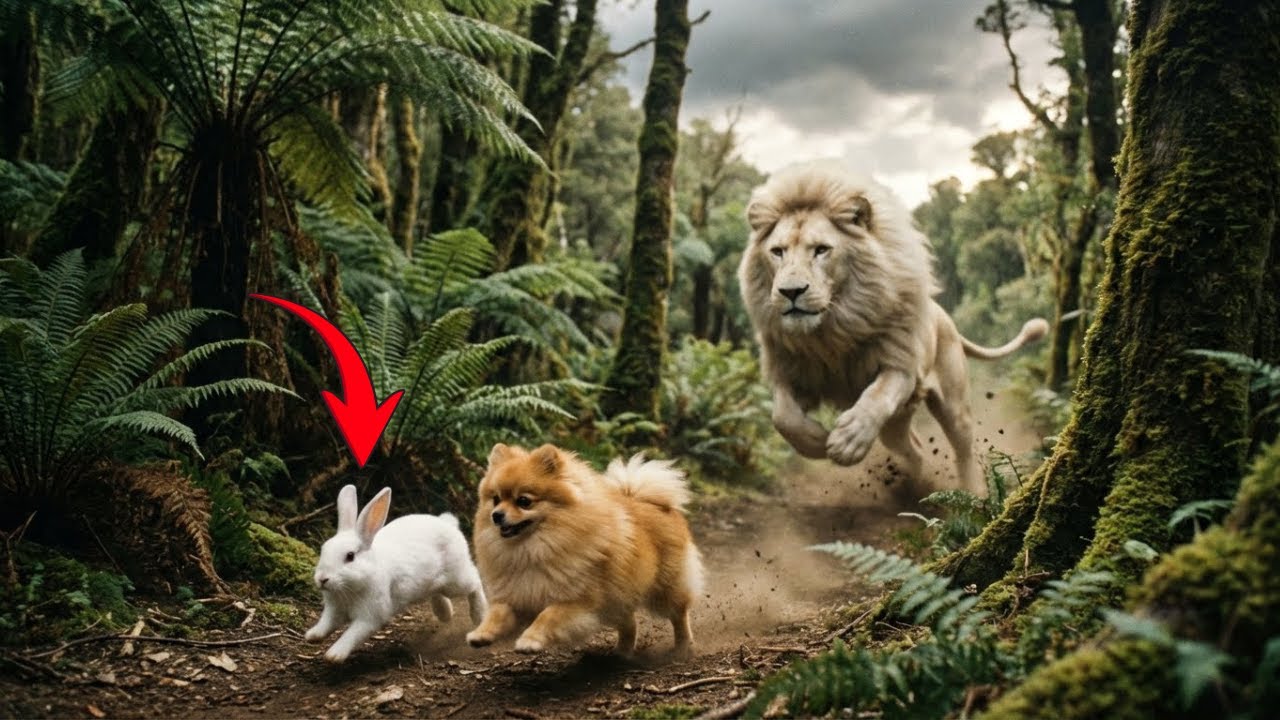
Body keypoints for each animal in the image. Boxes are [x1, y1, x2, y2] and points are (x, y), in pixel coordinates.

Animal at [304, 484, 488, 662]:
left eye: (350, 556)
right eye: (323, 549)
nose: (322, 579)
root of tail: (448, 524)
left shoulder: (370, 616)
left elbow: (352, 634)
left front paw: (334, 654)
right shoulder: (333, 610)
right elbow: (326, 623)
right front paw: (312, 636)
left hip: (456, 579)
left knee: (475, 582)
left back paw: (479, 615)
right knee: (437, 592)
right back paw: (444, 614)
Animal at [737, 159, 1048, 495]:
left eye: (821, 249)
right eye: (777, 251)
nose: (790, 292)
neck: (833, 329)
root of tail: (945, 317)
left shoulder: (901, 366)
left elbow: (876, 398)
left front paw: (848, 440)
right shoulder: (791, 372)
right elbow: (783, 417)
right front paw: (818, 442)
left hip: (951, 404)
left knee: (964, 447)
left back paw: (973, 494)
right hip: (896, 424)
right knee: (914, 449)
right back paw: (911, 484)